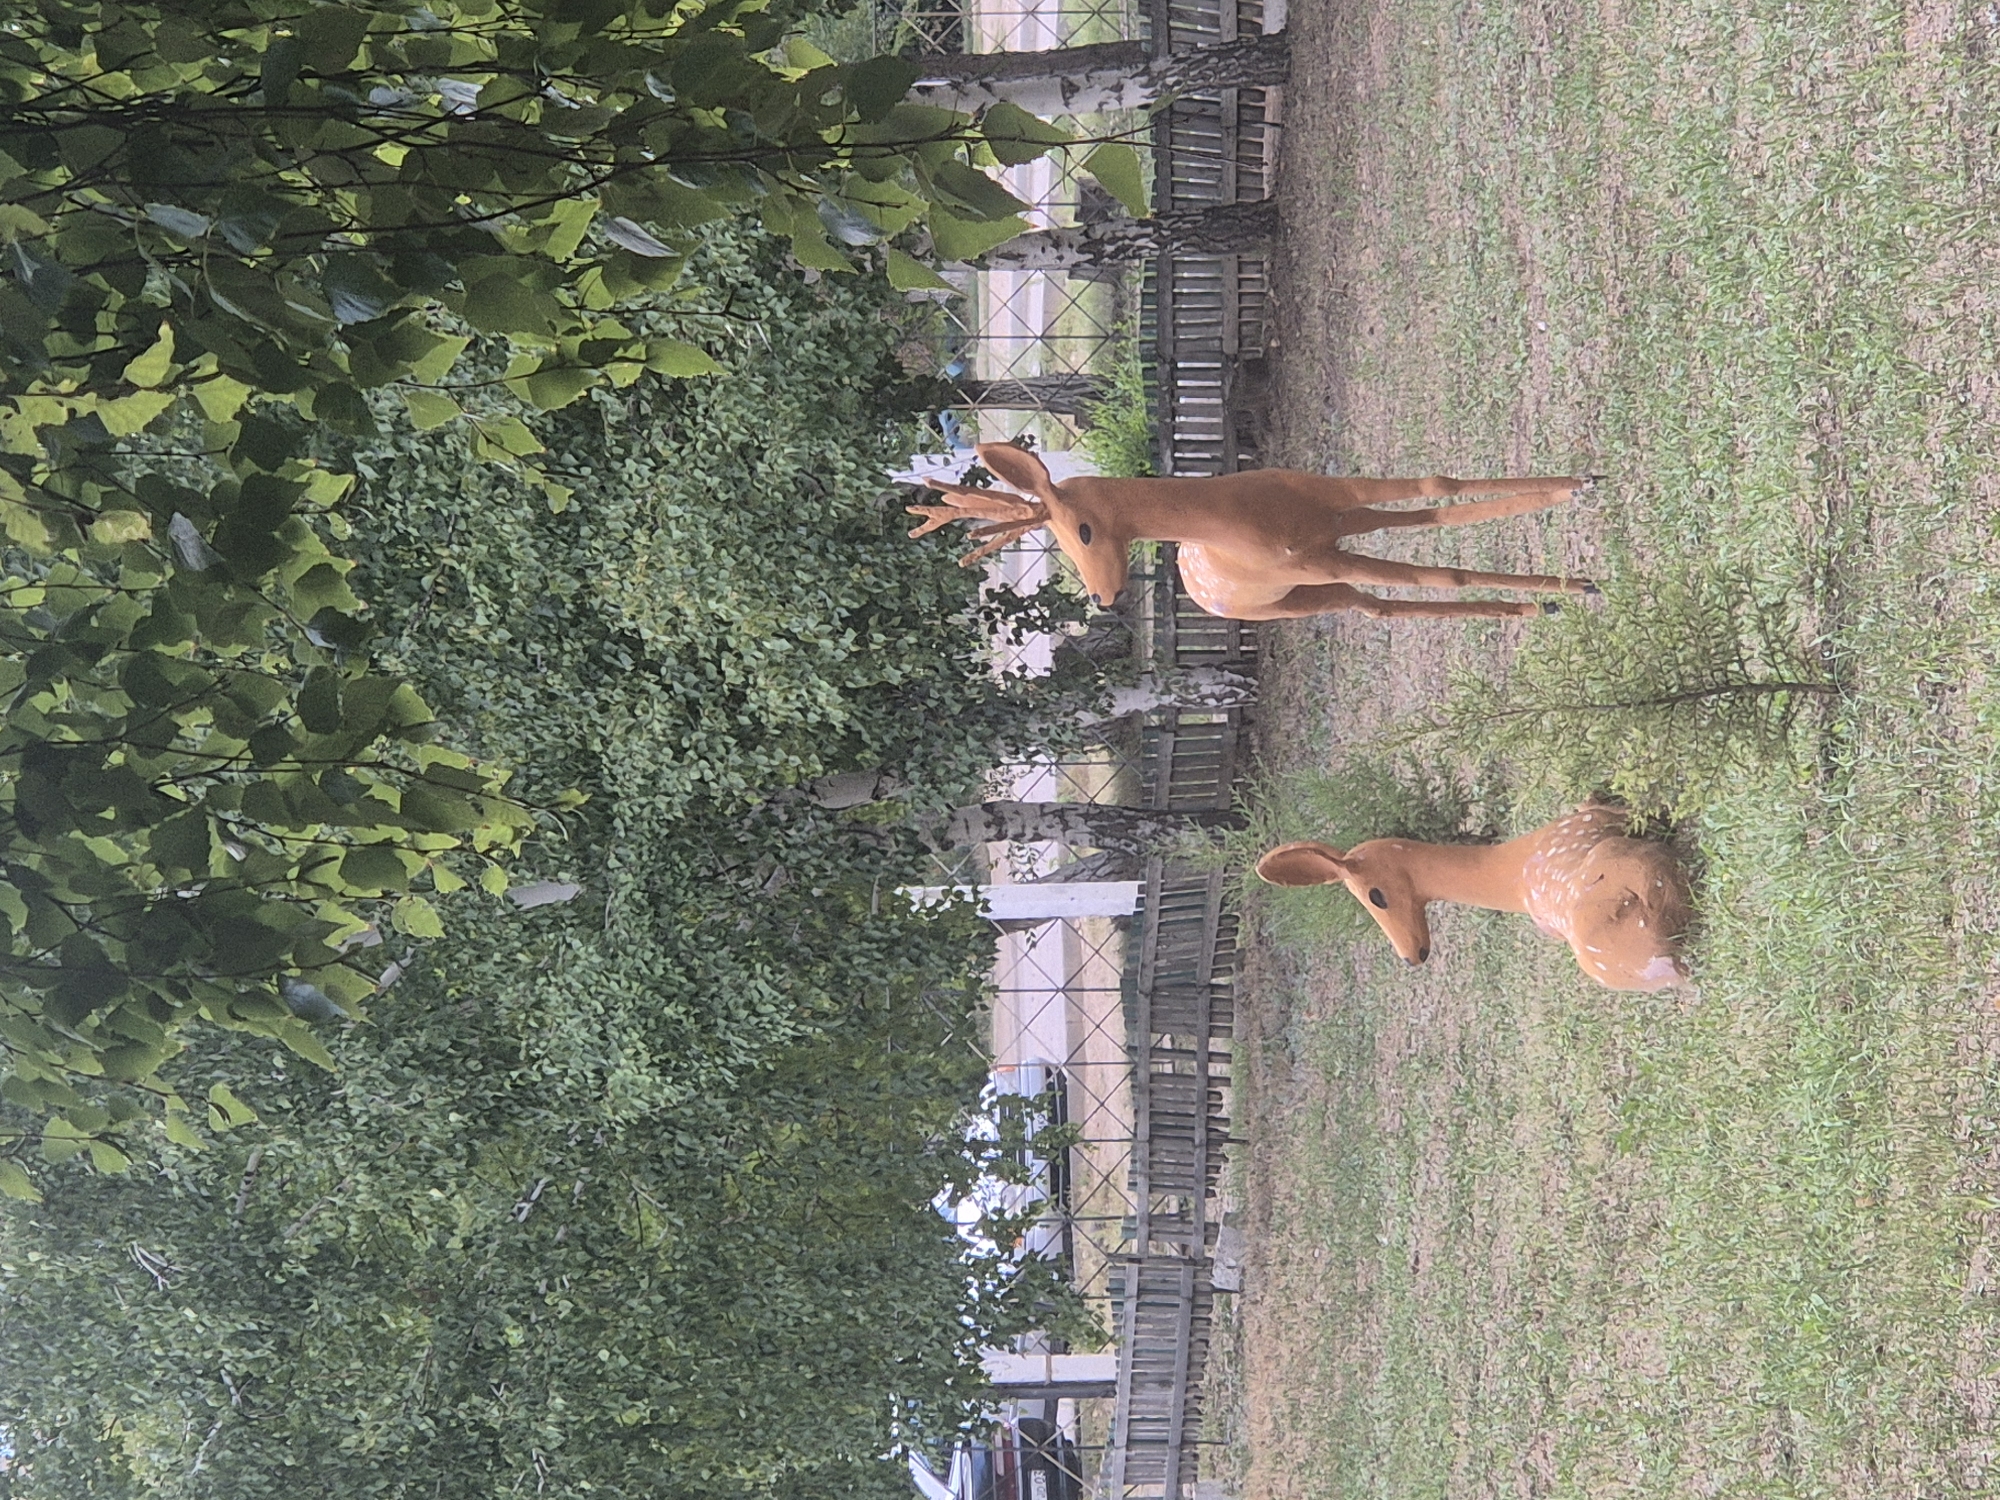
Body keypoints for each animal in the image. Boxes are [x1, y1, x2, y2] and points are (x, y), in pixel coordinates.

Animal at [906, 443, 1600, 621]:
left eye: (1081, 531)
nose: (1103, 598)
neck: (1242, 518)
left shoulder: (1341, 500)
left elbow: (1438, 487)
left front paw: (1579, 484)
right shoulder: (1318, 560)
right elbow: (1439, 574)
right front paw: (1572, 590)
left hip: (1336, 540)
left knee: (1402, 553)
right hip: (1295, 598)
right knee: (1373, 607)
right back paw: (1535, 607)